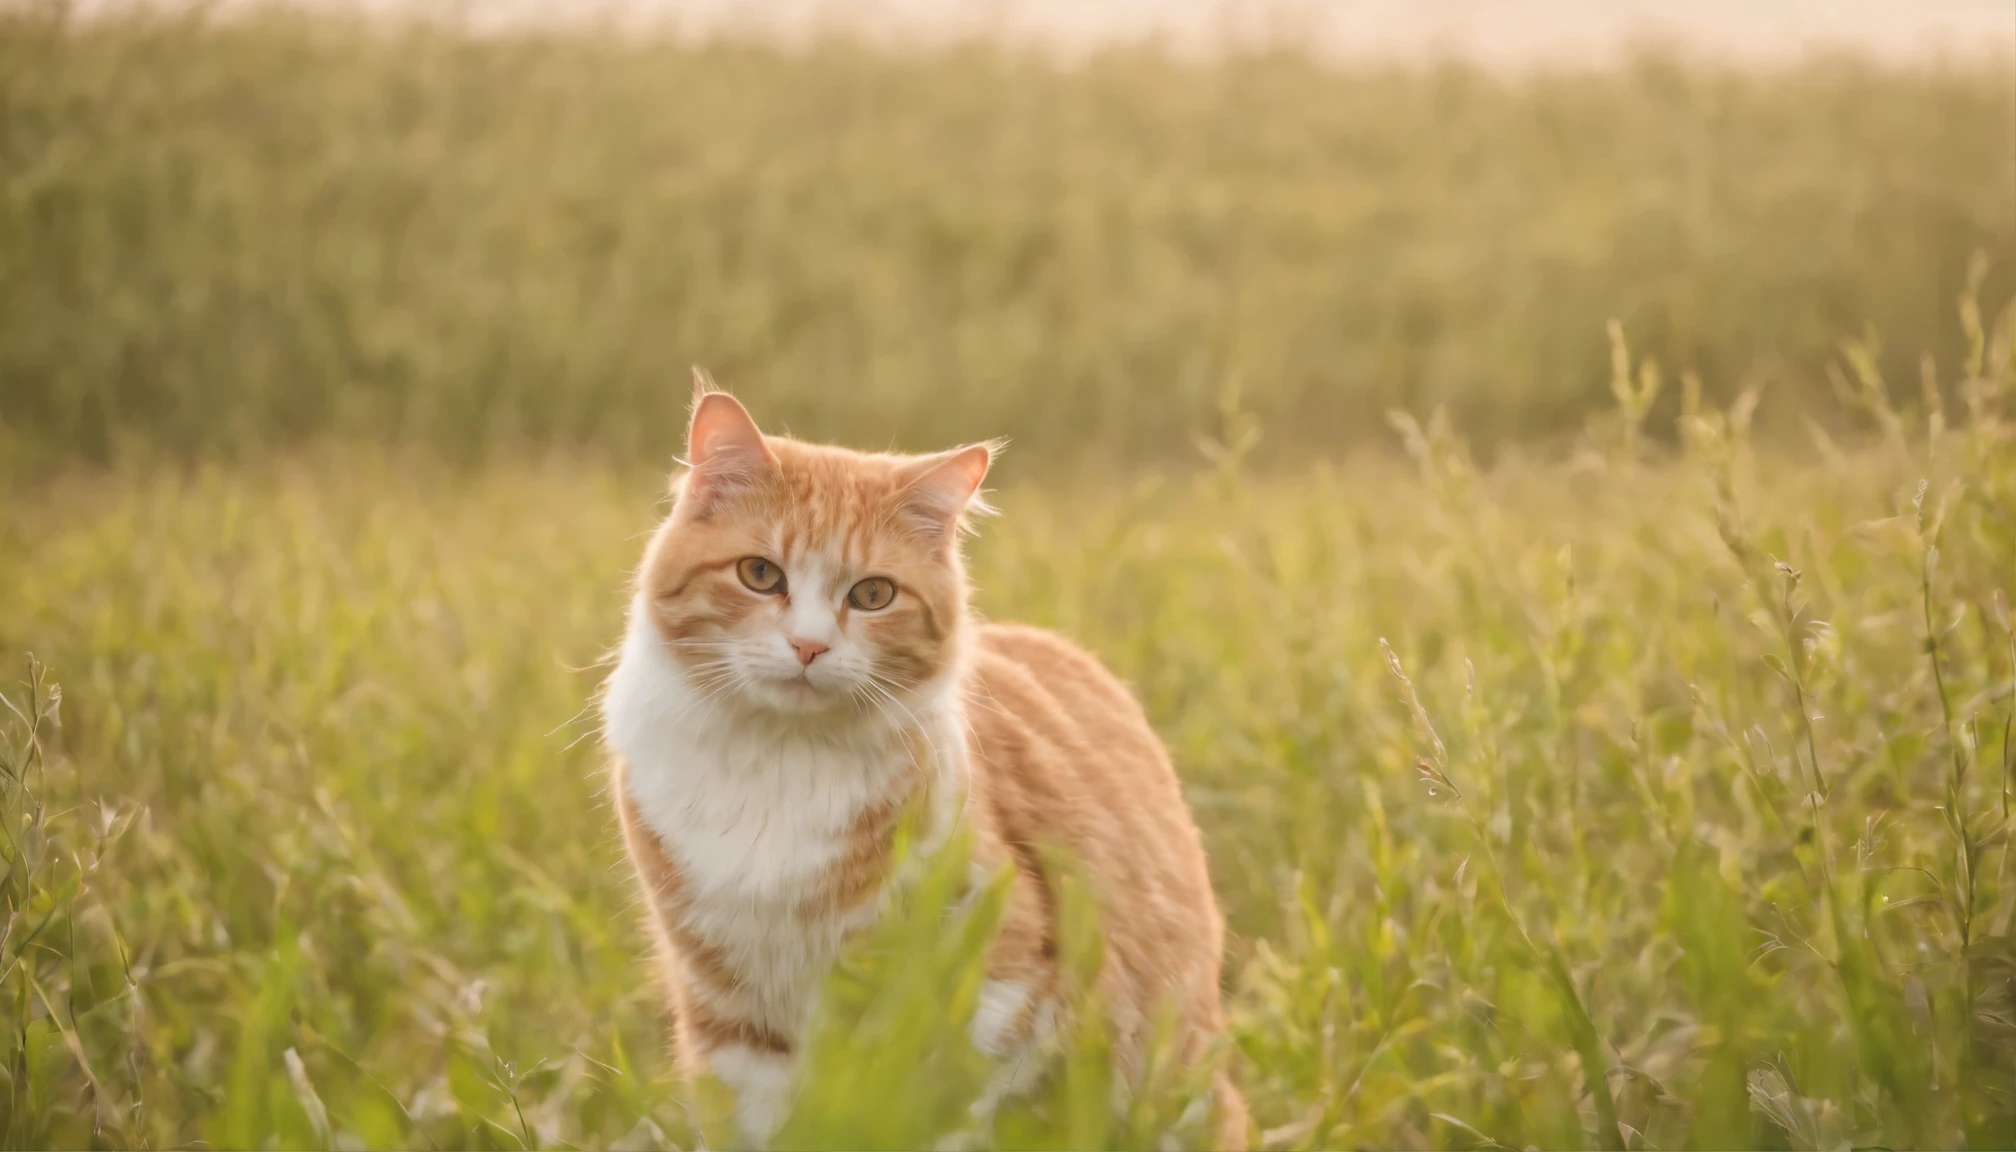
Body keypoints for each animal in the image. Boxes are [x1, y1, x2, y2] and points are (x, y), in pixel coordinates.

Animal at [596, 377, 1241, 1145]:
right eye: (759, 574)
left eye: (872, 594)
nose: (809, 646)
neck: (780, 765)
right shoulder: (732, 1020)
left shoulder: (997, 986)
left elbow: (954, 1112)